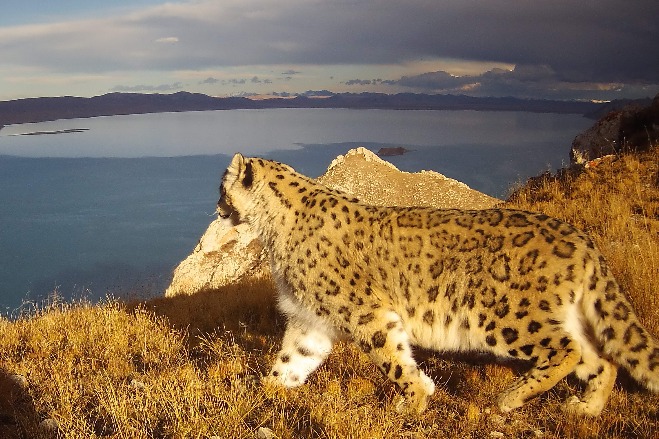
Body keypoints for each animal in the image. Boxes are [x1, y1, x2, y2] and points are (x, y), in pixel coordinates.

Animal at [216, 153, 659, 416]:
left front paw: (413, 400)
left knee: (566, 350)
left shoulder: (366, 314)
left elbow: (393, 359)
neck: (272, 233)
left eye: (222, 186)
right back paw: (585, 408)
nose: (217, 208)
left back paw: (510, 398)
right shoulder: (310, 320)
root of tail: (581, 239)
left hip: (506, 317)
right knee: (601, 358)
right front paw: (267, 390)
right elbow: (292, 359)